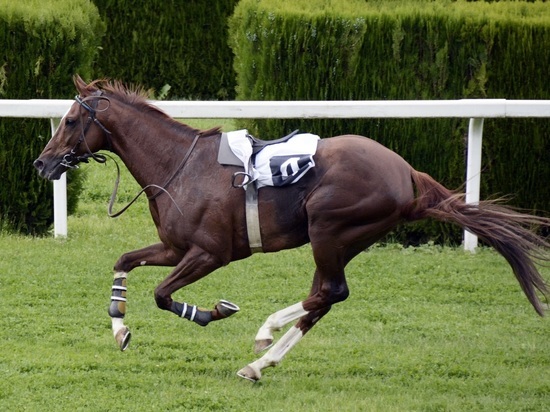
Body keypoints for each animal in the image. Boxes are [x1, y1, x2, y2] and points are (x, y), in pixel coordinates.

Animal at [35, 75, 550, 382]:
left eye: (72, 120)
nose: (42, 163)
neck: (179, 166)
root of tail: (407, 173)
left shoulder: (209, 253)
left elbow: (163, 295)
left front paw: (212, 312)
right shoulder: (174, 246)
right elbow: (123, 262)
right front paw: (119, 329)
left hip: (330, 229)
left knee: (330, 292)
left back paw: (264, 335)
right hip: (342, 239)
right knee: (323, 298)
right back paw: (261, 361)